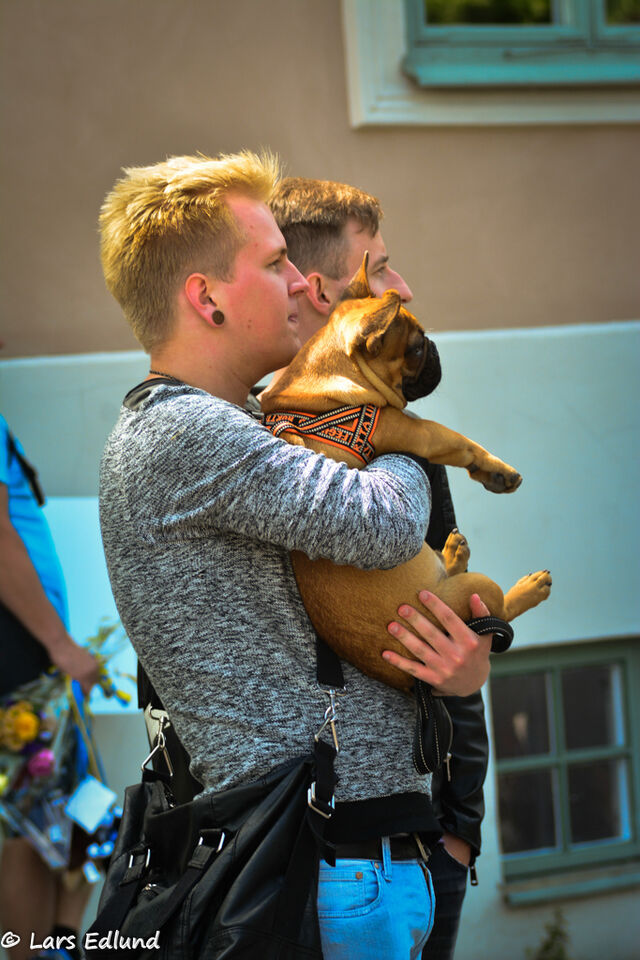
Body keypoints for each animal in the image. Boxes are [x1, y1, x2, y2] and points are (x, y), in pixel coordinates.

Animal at [260, 255, 551, 691]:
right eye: (414, 348)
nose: (433, 347)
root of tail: (407, 676)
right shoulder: (415, 431)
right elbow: (460, 441)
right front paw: (497, 471)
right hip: (473, 593)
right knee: (498, 608)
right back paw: (527, 588)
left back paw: (454, 552)